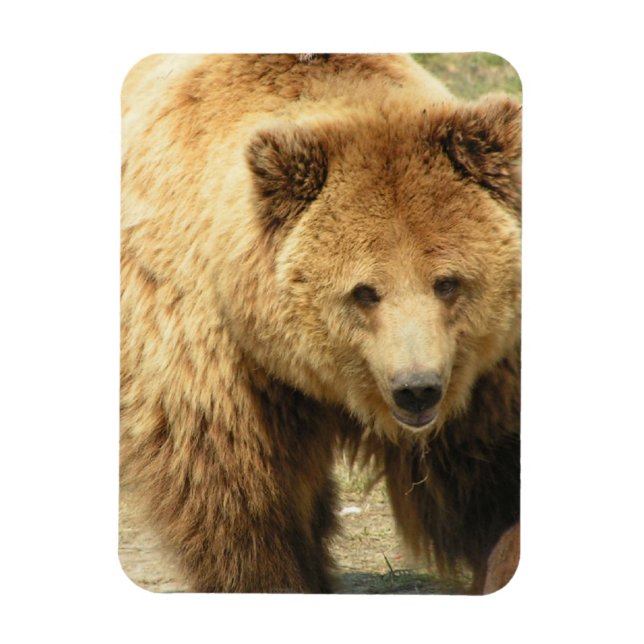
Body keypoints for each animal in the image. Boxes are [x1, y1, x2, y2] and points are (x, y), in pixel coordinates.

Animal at [120, 53, 521, 593]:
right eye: (364, 291)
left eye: (447, 282)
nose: (416, 389)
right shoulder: (220, 366)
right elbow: (238, 503)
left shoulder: (478, 372)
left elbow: (492, 478)